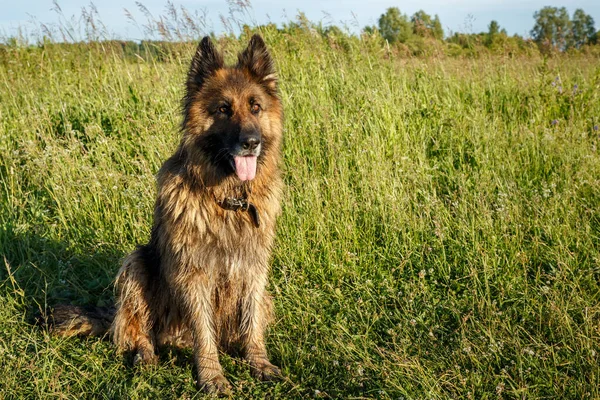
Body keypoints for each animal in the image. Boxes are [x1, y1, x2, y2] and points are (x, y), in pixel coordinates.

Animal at [50, 36, 284, 396]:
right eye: (223, 109)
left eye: (255, 107)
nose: (251, 143)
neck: (226, 199)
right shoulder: (194, 275)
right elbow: (204, 334)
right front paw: (212, 377)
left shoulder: (254, 271)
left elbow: (251, 322)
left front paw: (258, 362)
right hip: (137, 264)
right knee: (138, 331)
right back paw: (145, 356)